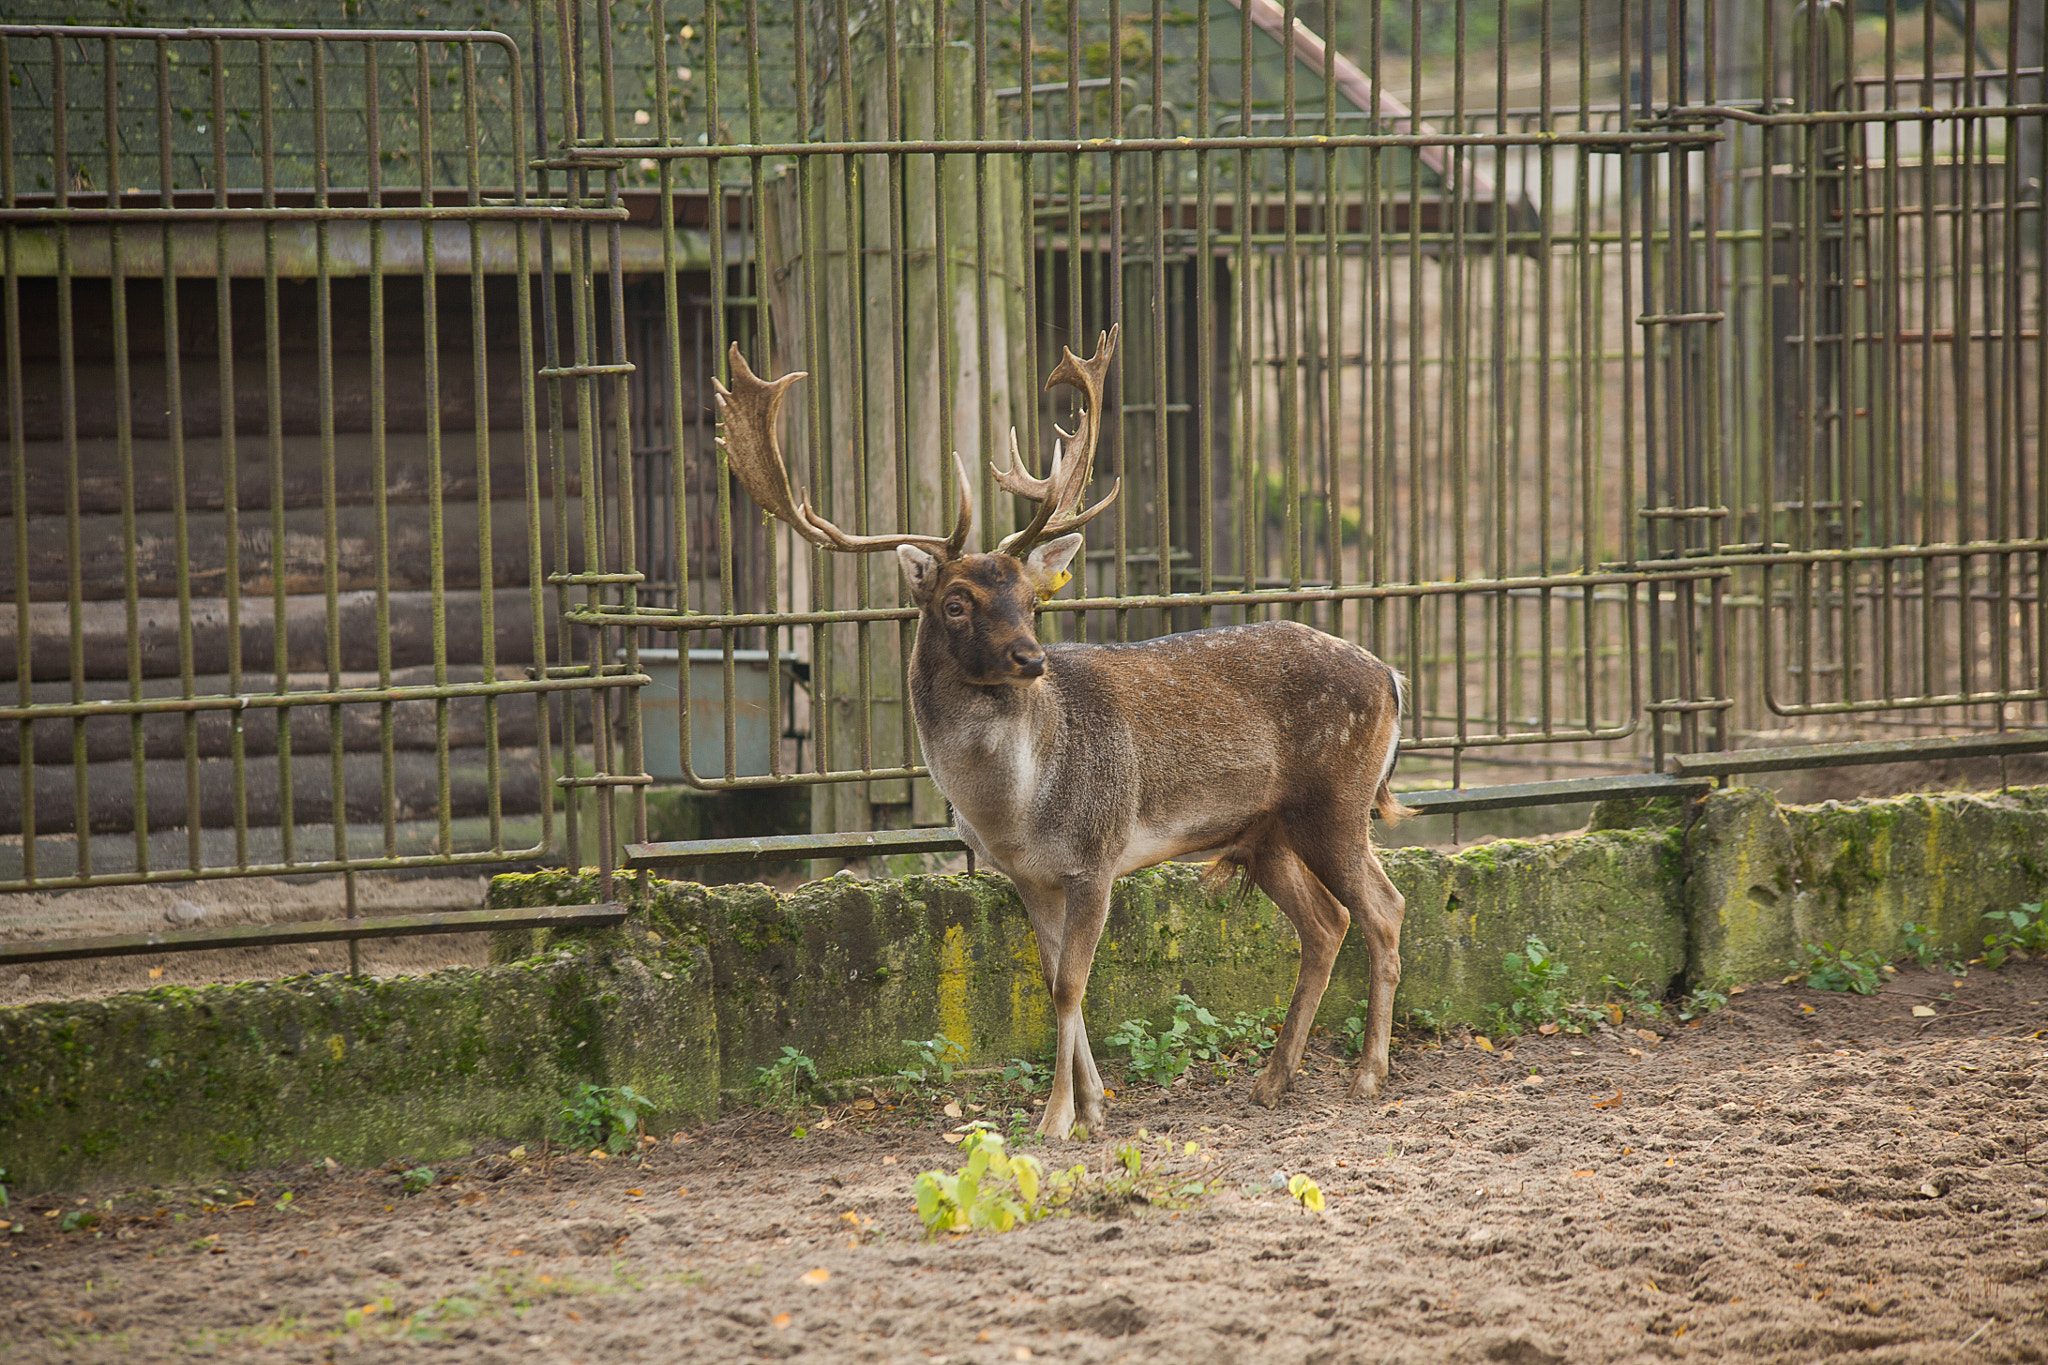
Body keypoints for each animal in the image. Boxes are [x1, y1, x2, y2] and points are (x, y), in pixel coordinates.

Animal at [713, 325, 1409, 1140]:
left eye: (1030, 598)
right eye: (955, 601)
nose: (1031, 658)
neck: (1014, 812)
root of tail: (1392, 676)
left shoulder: (1096, 854)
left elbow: (1073, 985)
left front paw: (1055, 1121)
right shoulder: (1028, 877)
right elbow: (1051, 984)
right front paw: (1095, 1107)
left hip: (1338, 801)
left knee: (1384, 910)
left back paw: (1367, 1074)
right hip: (1267, 830)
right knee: (1327, 923)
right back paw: (1272, 1081)